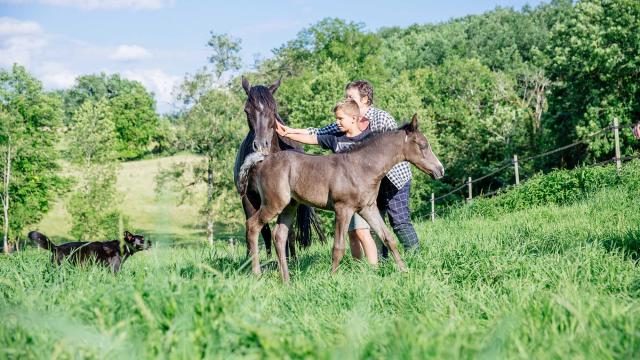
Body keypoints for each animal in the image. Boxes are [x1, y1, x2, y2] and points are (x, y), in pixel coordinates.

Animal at [240, 114, 444, 282]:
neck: (362, 166)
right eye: (423, 145)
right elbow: (338, 247)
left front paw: (405, 271)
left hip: (290, 205)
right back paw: (257, 274)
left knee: (279, 235)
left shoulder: (368, 208)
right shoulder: (343, 209)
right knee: (253, 226)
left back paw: (287, 280)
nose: (440, 170)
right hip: (273, 203)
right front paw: (332, 279)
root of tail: (263, 160)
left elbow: (388, 238)